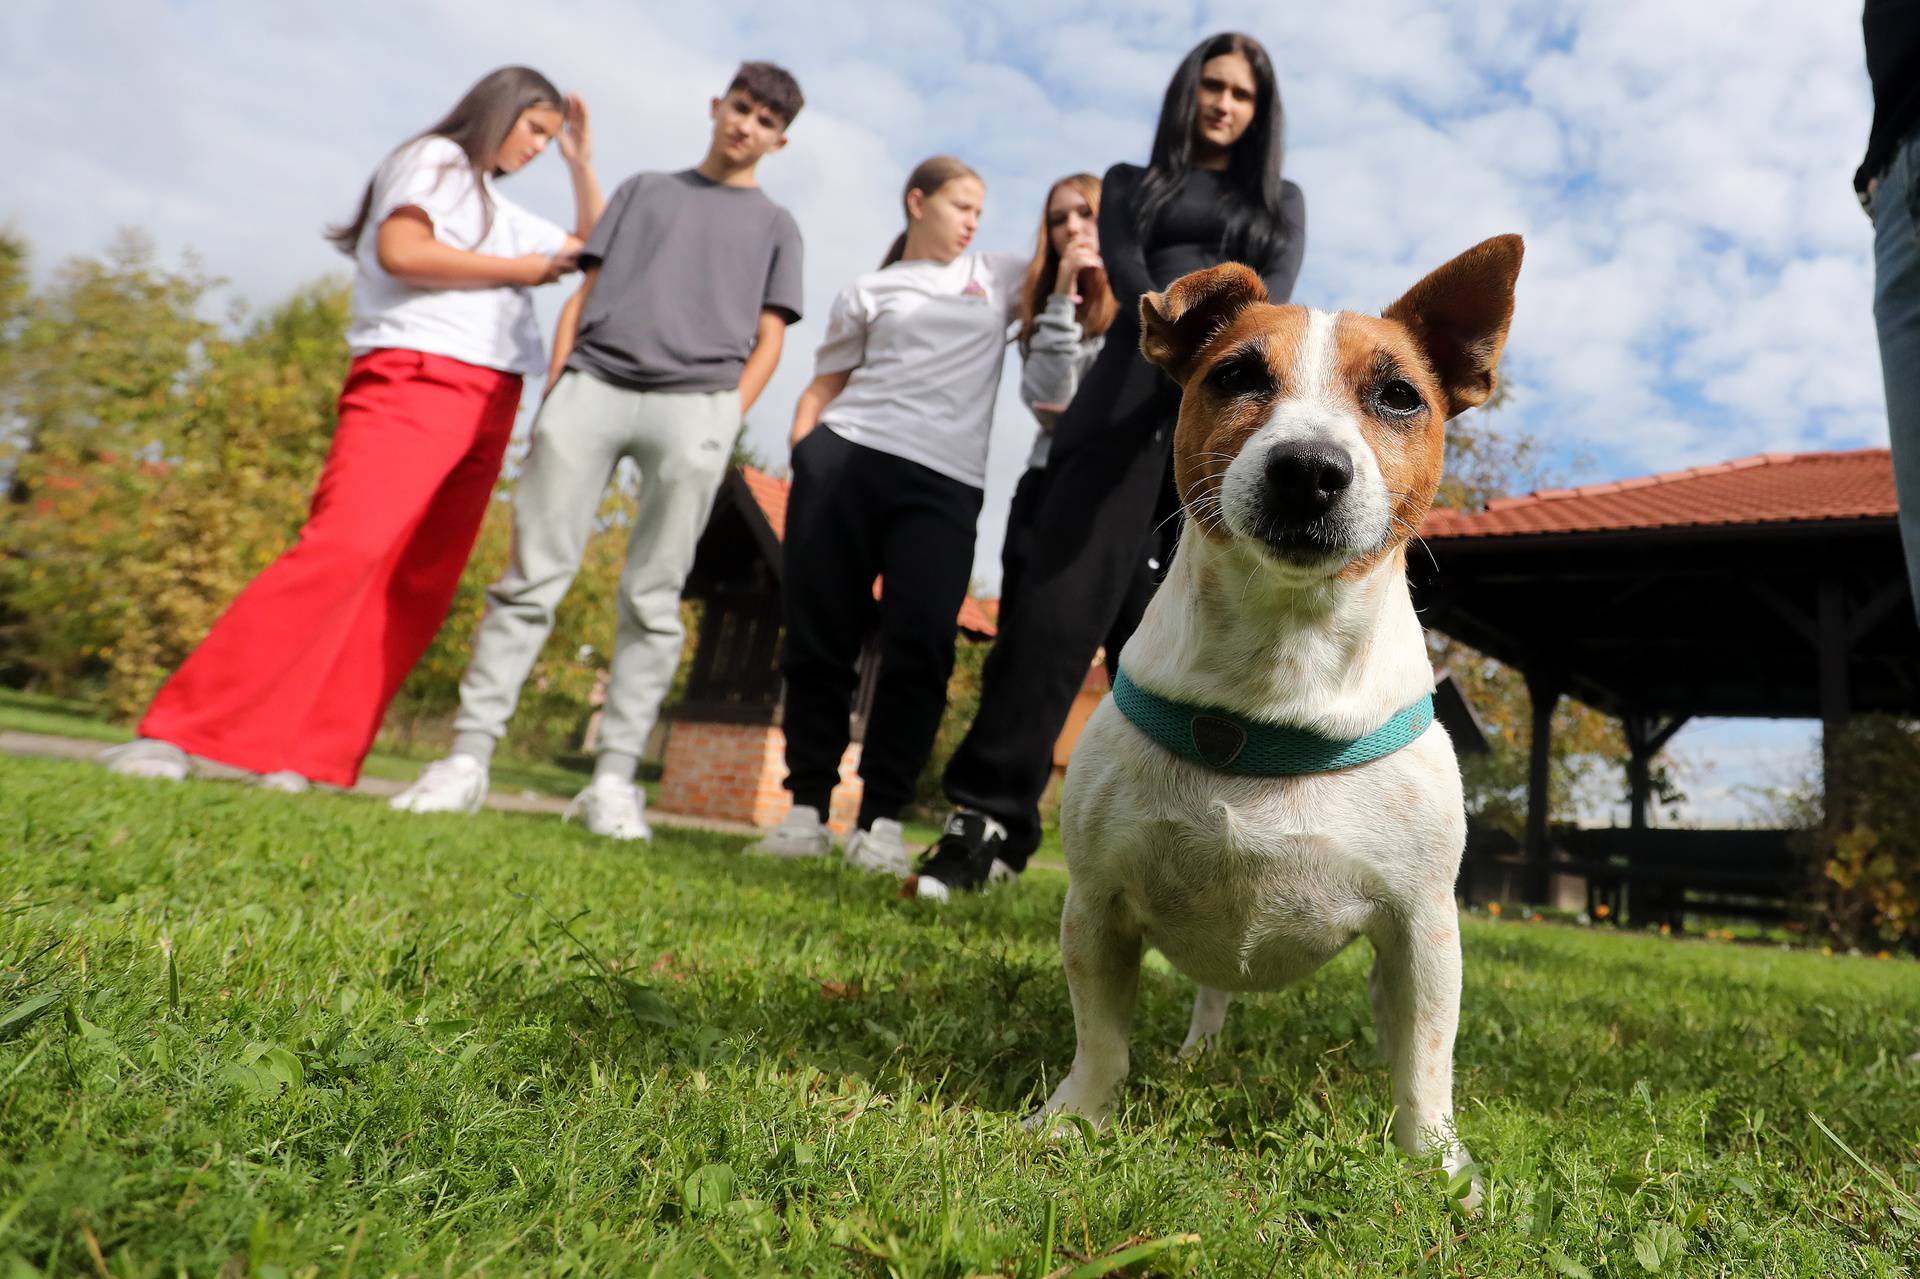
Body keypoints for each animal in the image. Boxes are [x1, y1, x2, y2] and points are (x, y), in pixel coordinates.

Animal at [1029, 234, 1520, 1198]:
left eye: (1399, 395)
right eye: (1237, 375)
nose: (1310, 468)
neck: (1281, 662)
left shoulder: (1423, 927)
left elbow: (1428, 1059)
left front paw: (1435, 1161)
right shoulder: (1096, 906)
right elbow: (1100, 1033)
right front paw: (1077, 1116)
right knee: (1212, 992)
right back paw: (1198, 1049)